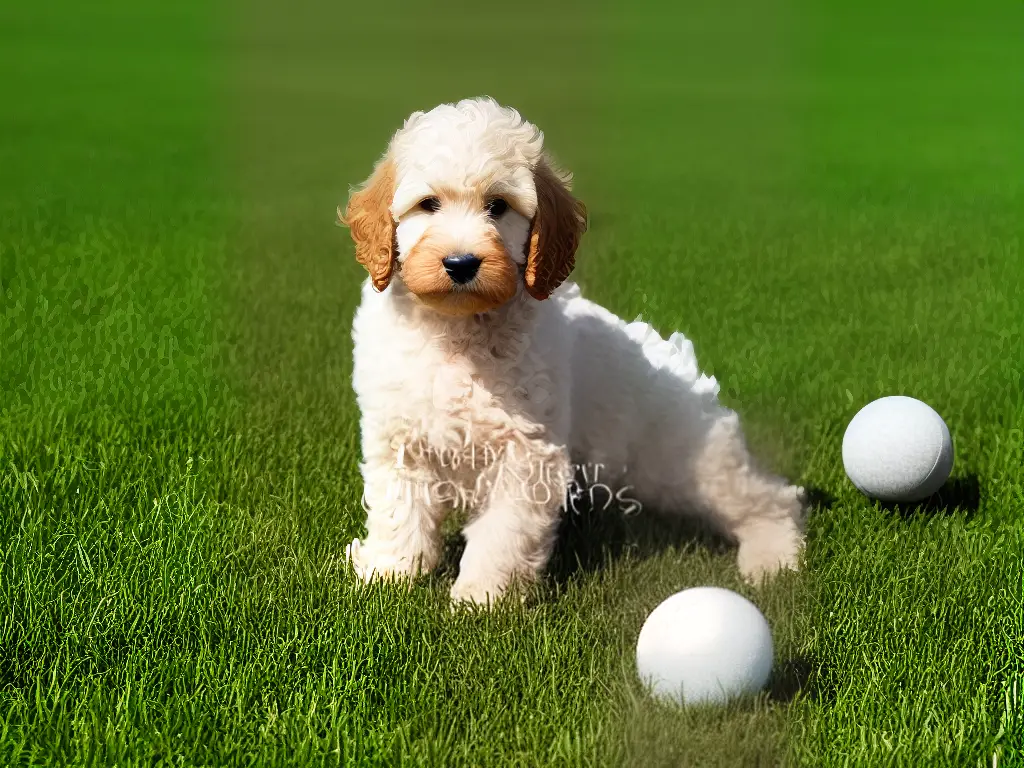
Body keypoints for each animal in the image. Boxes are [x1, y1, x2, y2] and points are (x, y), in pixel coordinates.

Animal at [339, 96, 802, 606]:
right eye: (428, 205)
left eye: (498, 207)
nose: (461, 264)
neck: (457, 329)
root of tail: (674, 357)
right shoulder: (398, 437)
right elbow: (399, 513)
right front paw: (388, 575)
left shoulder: (526, 454)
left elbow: (501, 533)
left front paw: (482, 598)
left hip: (692, 465)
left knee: (770, 499)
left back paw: (772, 558)